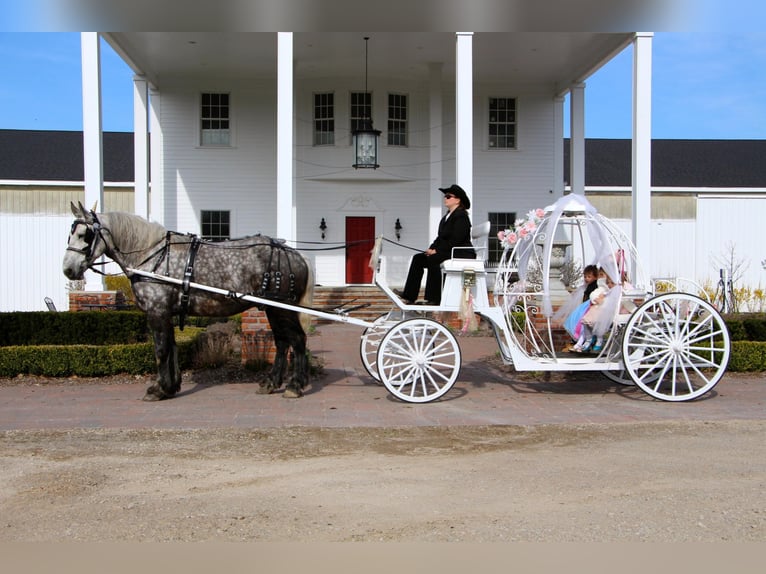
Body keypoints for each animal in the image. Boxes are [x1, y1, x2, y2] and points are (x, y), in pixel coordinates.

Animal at [63, 202, 314, 400]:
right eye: (70, 233)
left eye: (86, 234)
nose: (68, 269)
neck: (152, 256)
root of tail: (295, 255)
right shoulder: (166, 313)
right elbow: (172, 347)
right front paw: (171, 386)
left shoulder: (157, 312)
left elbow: (161, 349)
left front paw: (158, 389)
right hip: (274, 309)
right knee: (282, 342)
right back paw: (271, 383)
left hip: (282, 309)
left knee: (296, 340)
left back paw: (294, 386)